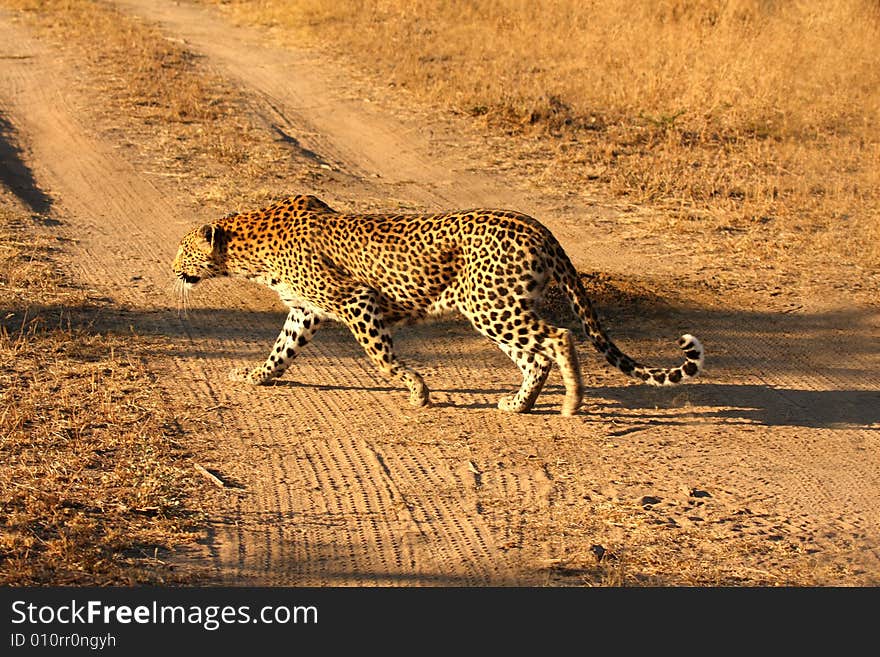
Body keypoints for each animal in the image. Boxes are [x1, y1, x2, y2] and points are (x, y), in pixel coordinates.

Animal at [175, 193, 704, 416]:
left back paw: (571, 403)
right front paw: (254, 375)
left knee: (559, 337)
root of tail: (537, 225)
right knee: (535, 357)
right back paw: (518, 405)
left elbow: (383, 359)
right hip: (498, 308)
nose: (172, 270)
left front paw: (418, 392)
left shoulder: (355, 300)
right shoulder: (305, 310)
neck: (248, 246)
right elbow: (280, 350)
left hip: (490, 305)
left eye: (182, 251)